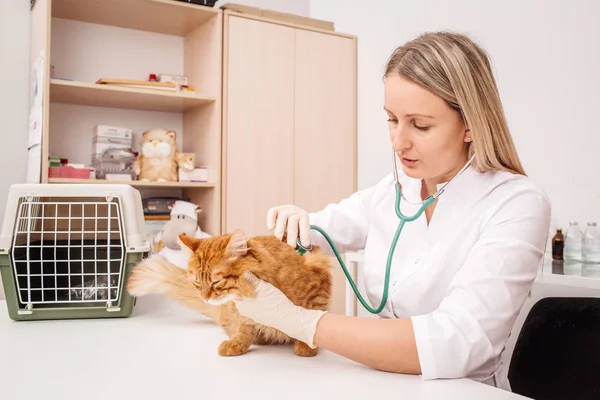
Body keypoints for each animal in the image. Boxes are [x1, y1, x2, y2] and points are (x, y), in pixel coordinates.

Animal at [127, 230, 332, 358]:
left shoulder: (318, 285)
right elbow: (245, 328)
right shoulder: (243, 311)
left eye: (215, 282)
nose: (205, 298)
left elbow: (311, 317)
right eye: (197, 283)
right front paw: (237, 344)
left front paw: (307, 345)